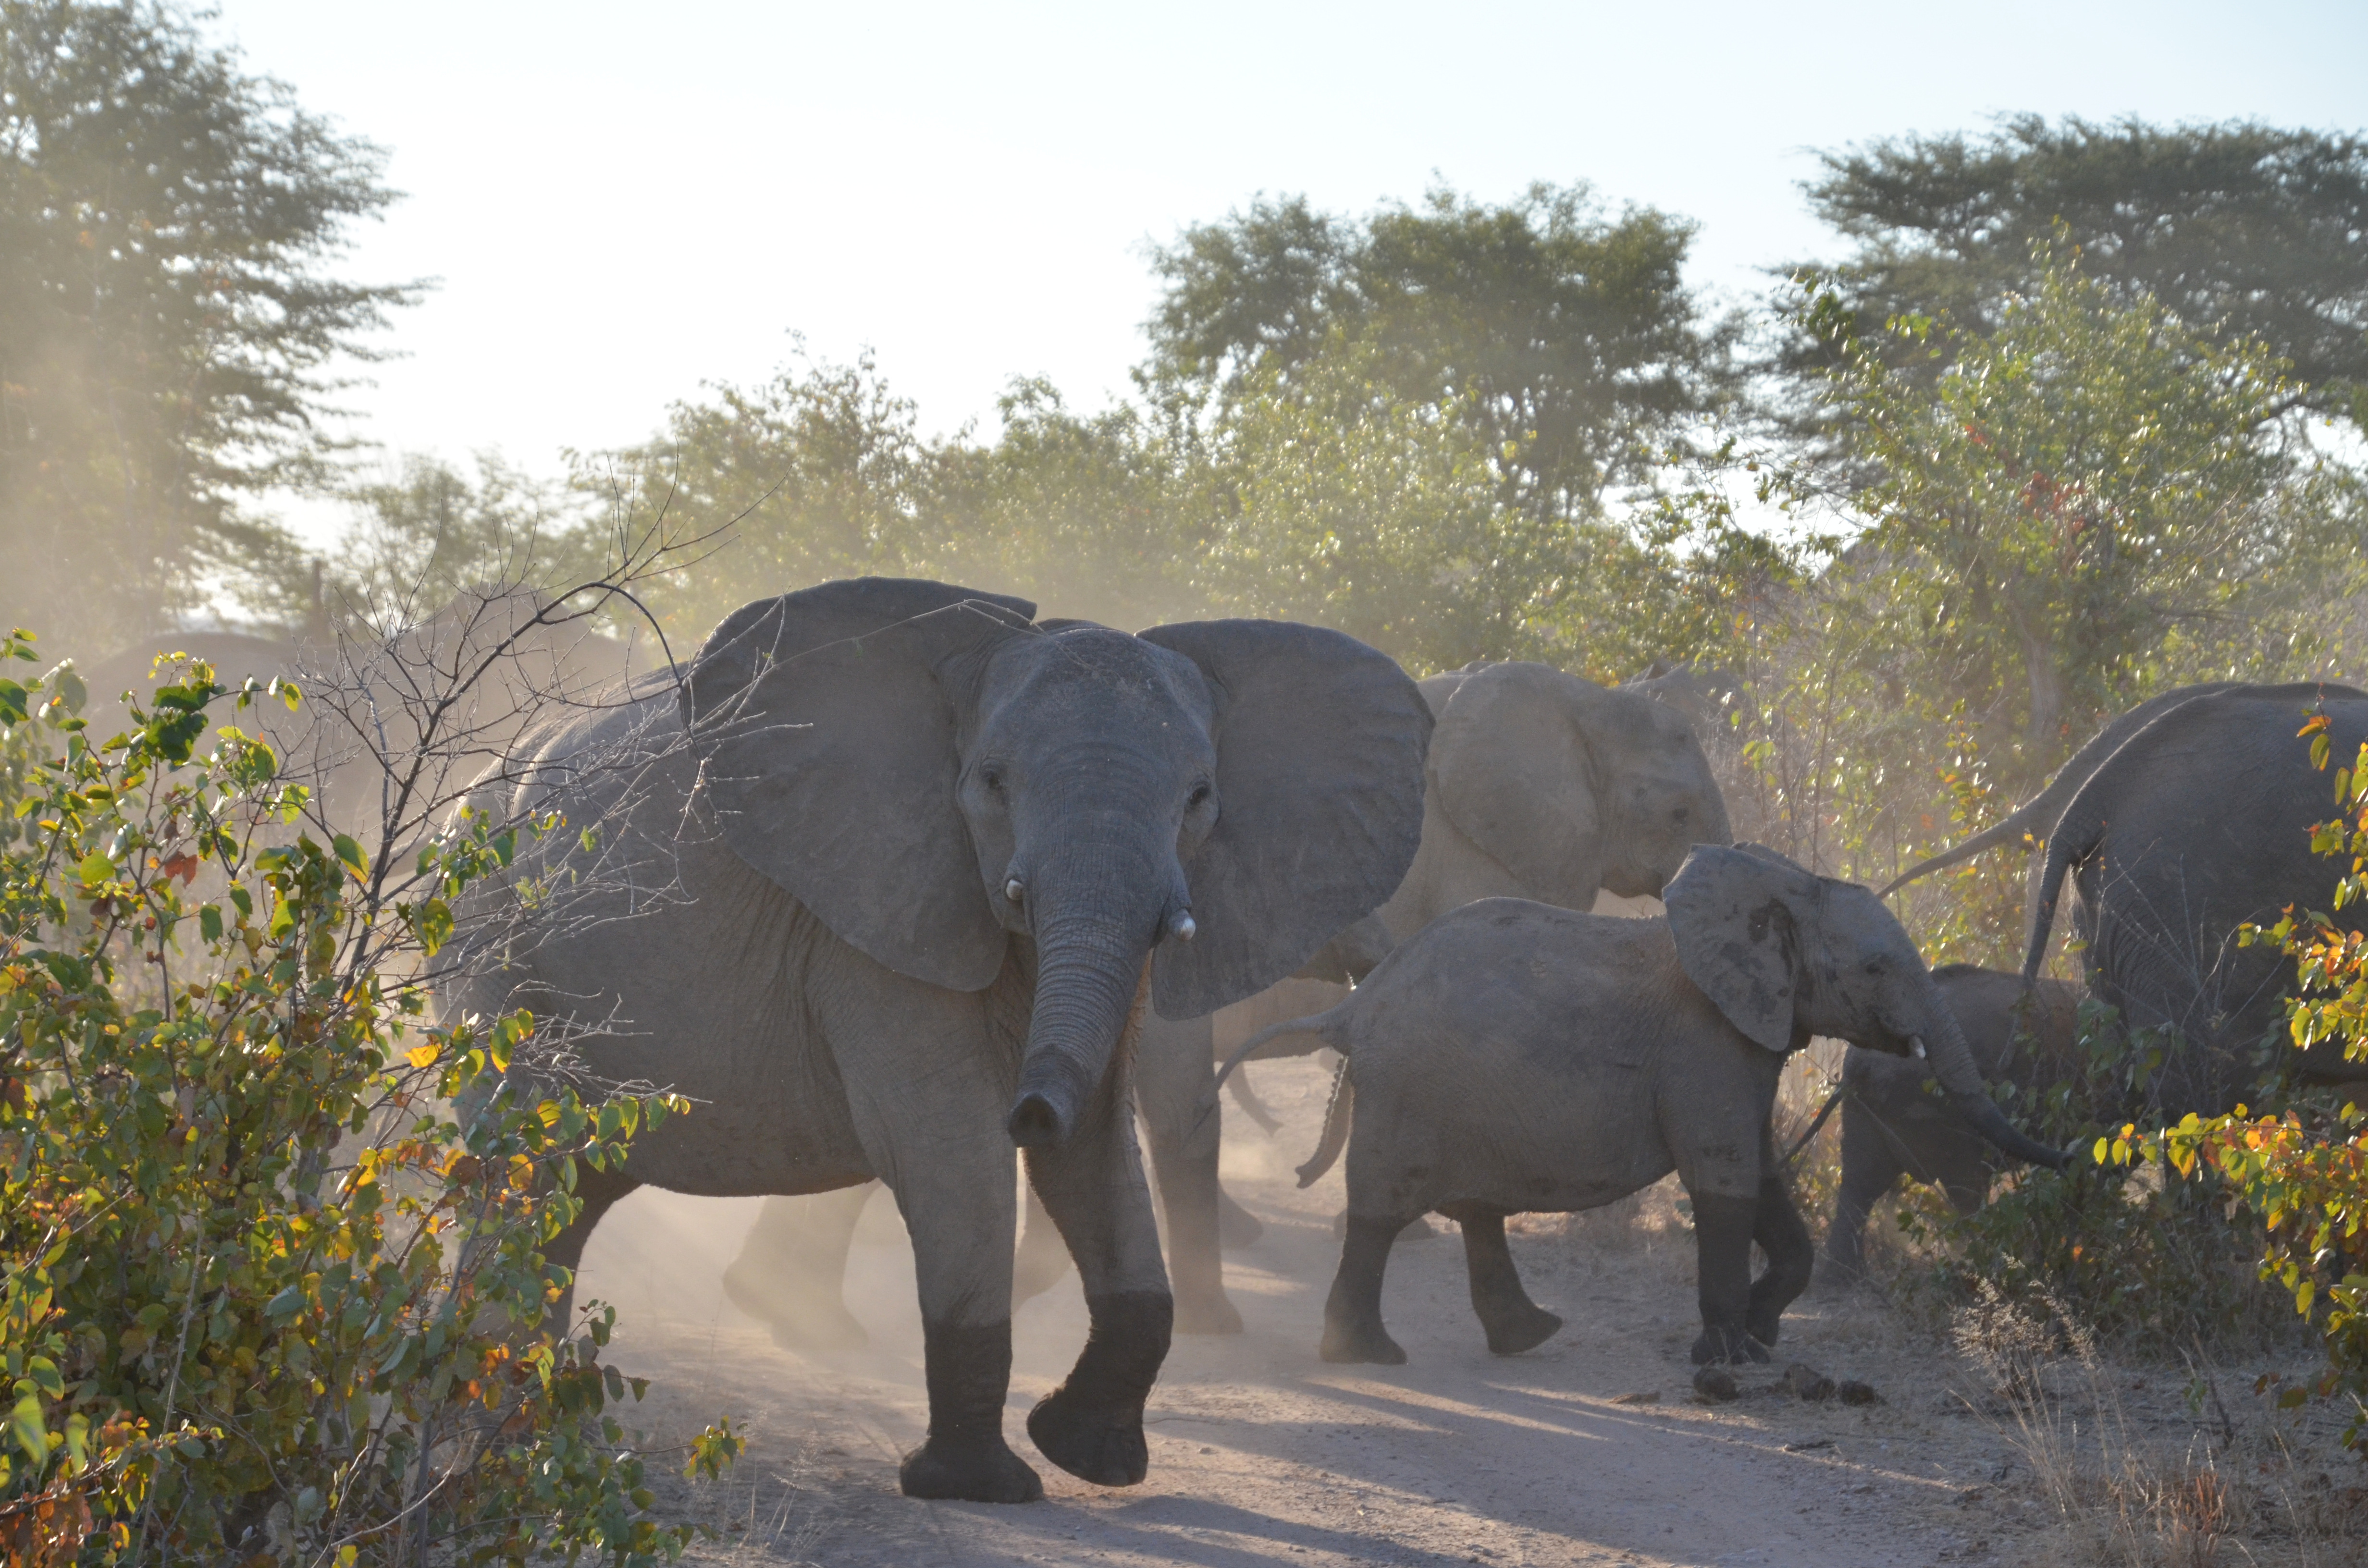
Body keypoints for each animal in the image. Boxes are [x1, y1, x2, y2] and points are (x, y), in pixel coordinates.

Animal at [447, 580, 1420, 1516]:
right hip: (491, 952)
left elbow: (1096, 1149)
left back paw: (528, 1426)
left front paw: (1090, 1456)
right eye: (990, 782)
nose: (1029, 1108)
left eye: (1200, 799)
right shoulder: (879, 908)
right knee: (524, 1176)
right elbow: (951, 1146)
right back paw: (493, 1435)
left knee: (567, 1201)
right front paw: (977, 1486)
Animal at [1818, 966, 2084, 1288]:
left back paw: (1842, 1278)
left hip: (1865, 1110)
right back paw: (1993, 1273)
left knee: (1861, 1183)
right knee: (1966, 1191)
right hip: (1932, 1110)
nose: (2068, 1159)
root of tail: (1857, 1063)